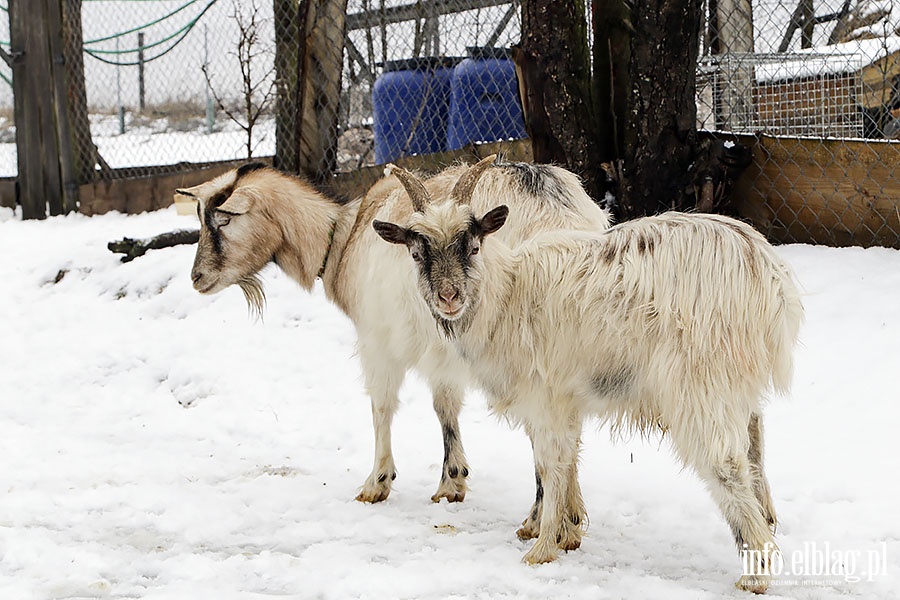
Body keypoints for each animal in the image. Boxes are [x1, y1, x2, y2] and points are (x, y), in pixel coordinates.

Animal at [177, 158, 612, 506]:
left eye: (223, 220)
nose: (197, 278)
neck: (342, 240)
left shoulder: (378, 340)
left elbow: (382, 406)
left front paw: (378, 483)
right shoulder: (444, 348)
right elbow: (445, 406)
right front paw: (452, 483)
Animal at [370, 157, 800, 592]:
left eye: (473, 246)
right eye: (416, 252)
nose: (449, 297)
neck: (508, 295)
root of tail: (770, 277)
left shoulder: (546, 398)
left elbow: (551, 465)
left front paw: (541, 548)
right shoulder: (567, 400)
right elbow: (564, 461)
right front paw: (568, 532)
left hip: (700, 384)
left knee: (726, 465)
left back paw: (755, 572)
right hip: (736, 381)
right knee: (754, 440)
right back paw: (767, 520)